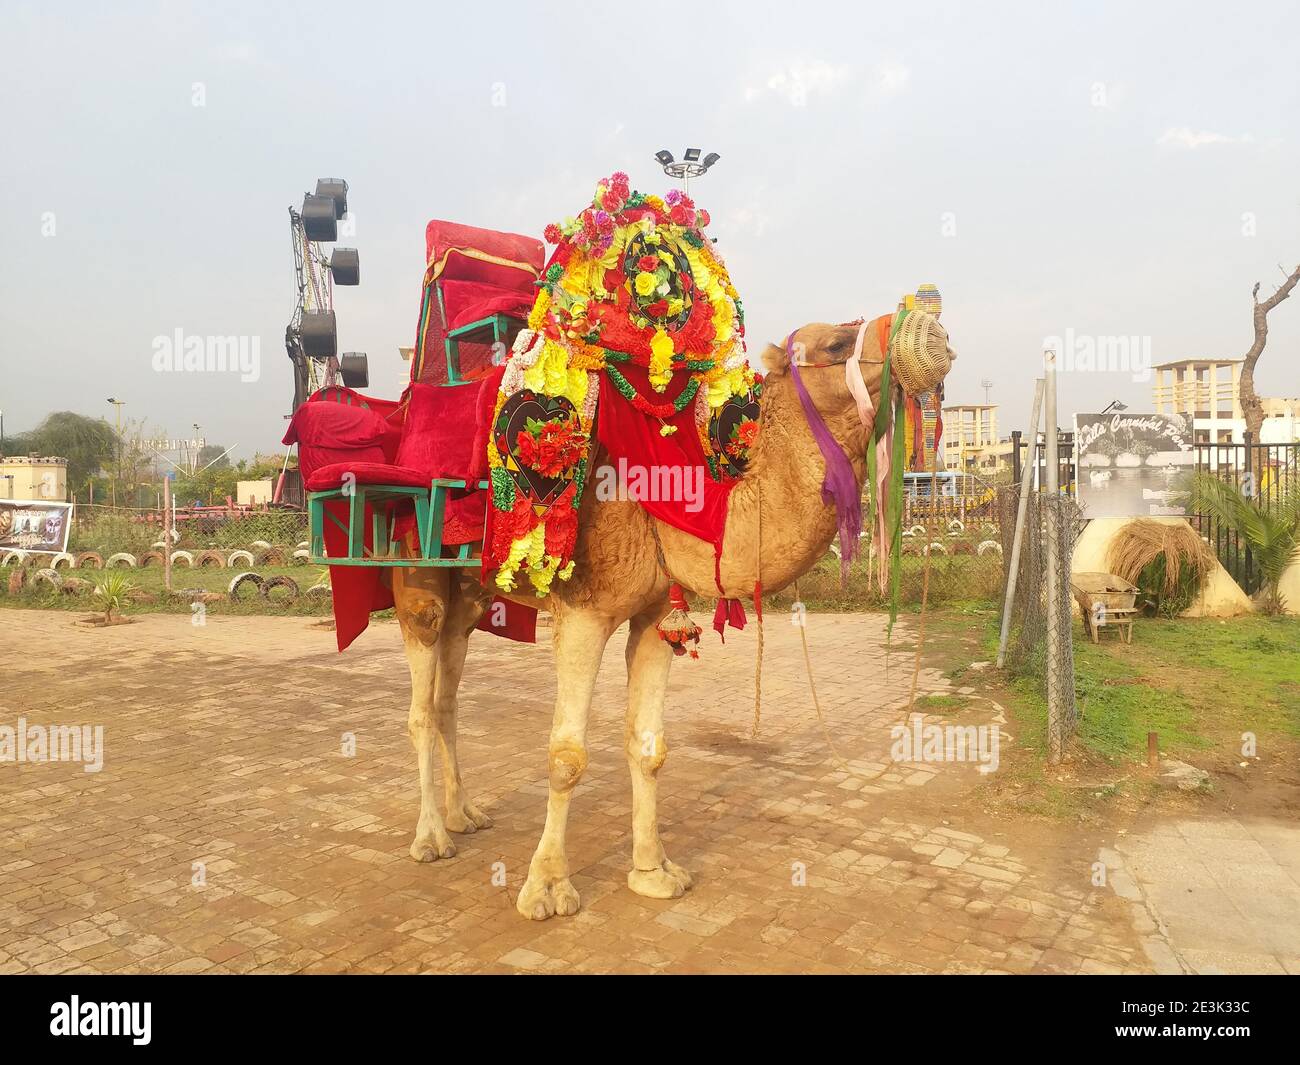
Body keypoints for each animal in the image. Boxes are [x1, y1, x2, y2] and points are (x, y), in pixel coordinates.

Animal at [301, 172, 956, 915]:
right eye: (836, 344)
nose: (928, 325)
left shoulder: (652, 612)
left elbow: (649, 746)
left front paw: (653, 871)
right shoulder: (585, 609)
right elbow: (566, 755)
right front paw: (547, 888)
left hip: (470, 592)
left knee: (446, 697)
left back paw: (466, 814)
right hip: (415, 569)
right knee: (418, 700)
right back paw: (432, 836)